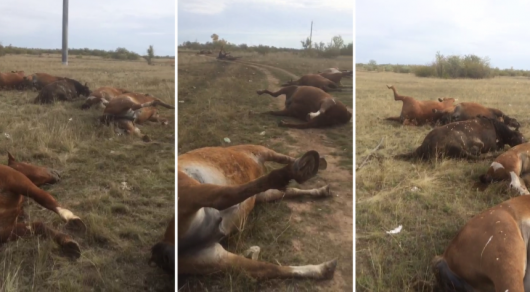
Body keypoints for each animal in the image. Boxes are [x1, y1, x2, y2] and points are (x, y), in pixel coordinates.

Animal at [177, 145, 334, 280]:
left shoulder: (261, 194)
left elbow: (287, 191)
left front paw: (321, 190)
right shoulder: (259, 150)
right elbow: (283, 159)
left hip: (214, 258)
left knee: (268, 269)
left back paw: (324, 269)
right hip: (190, 189)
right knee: (223, 197)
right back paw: (300, 168)